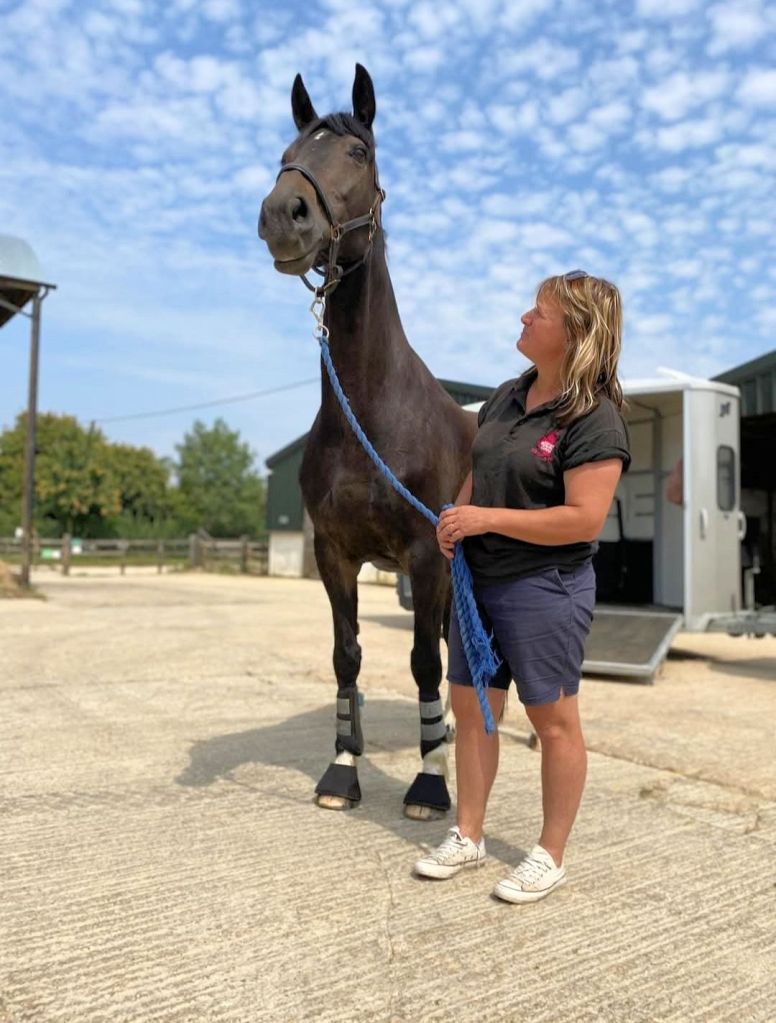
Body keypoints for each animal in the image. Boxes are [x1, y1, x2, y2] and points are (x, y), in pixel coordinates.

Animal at [258, 64, 476, 818]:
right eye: (289, 148)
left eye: (358, 152)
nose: (283, 212)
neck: (374, 407)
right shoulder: (335, 553)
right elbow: (346, 655)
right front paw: (342, 769)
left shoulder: (426, 555)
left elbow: (424, 663)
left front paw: (430, 784)